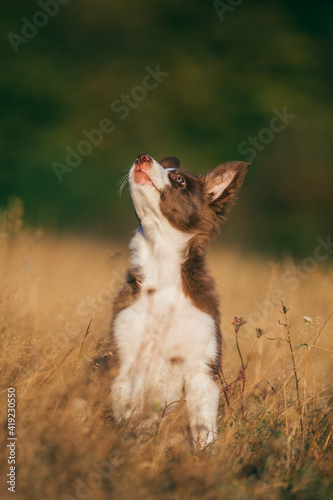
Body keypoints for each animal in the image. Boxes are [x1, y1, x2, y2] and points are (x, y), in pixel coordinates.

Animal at [110, 153, 248, 446]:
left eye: (179, 179)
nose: (141, 156)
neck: (162, 262)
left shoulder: (201, 370)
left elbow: (204, 430)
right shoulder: (125, 358)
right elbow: (125, 416)